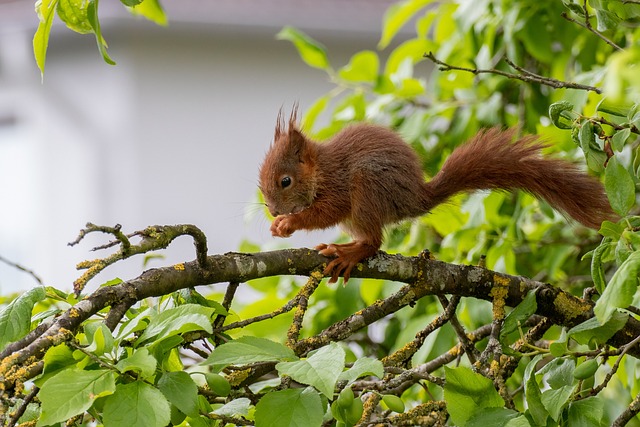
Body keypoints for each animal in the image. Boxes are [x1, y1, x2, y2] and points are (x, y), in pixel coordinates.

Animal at [258, 109, 616, 284]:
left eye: (285, 181)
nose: (273, 211)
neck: (321, 169)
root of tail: (415, 196)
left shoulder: (340, 185)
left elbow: (327, 211)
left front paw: (289, 223)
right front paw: (278, 225)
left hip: (369, 189)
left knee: (374, 241)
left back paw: (350, 252)